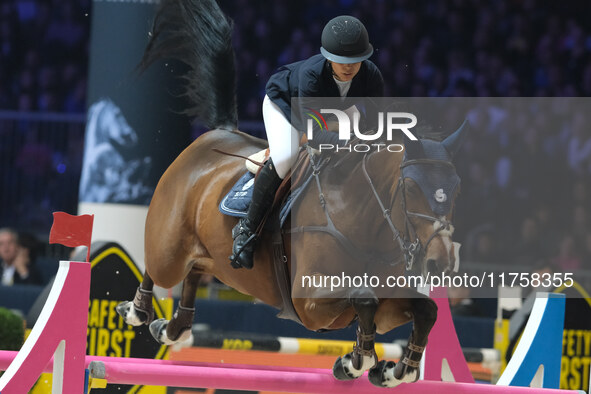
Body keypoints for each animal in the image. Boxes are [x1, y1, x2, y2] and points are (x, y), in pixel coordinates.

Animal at [115, 0, 468, 388]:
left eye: (456, 190)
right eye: (410, 188)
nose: (440, 263)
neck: (365, 221)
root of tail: (217, 134)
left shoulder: (389, 301)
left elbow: (426, 309)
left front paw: (392, 369)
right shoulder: (312, 303)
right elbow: (364, 300)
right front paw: (356, 362)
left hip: (212, 258)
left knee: (196, 270)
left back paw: (172, 327)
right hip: (169, 248)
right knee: (158, 265)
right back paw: (137, 310)